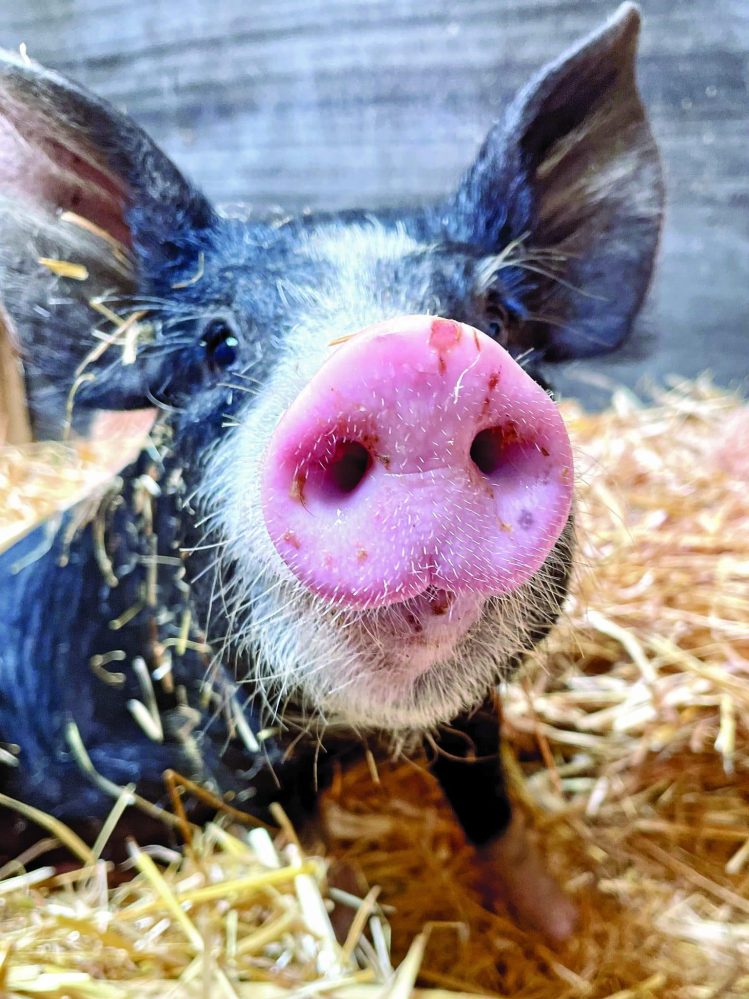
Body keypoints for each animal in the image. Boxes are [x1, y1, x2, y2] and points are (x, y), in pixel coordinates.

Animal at [0, 4, 662, 942]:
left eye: (497, 315)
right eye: (218, 343)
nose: (413, 361)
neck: (357, 737)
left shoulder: (475, 713)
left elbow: (496, 817)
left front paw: (567, 932)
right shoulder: (233, 756)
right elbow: (315, 861)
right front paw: (356, 936)